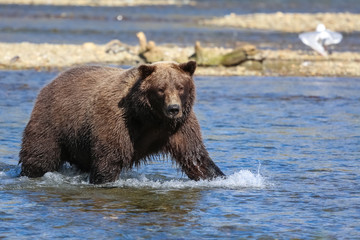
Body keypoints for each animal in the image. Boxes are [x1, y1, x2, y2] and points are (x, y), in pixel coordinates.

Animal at [19, 60, 225, 184]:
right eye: (161, 88)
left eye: (180, 87)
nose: (173, 108)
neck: (149, 117)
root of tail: (52, 81)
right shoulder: (118, 120)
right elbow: (110, 157)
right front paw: (102, 180)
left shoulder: (180, 126)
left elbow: (195, 156)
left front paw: (218, 176)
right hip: (53, 121)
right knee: (41, 155)